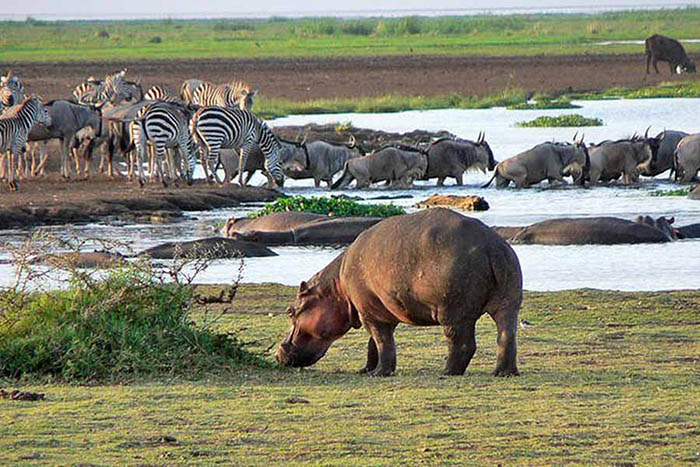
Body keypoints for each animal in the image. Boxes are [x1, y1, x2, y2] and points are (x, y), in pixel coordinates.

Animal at [276, 210, 524, 378]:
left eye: (291, 311)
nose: (278, 354)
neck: (335, 287)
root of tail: (493, 246)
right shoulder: (376, 309)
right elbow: (374, 344)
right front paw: (366, 370)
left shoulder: (369, 313)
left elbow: (382, 342)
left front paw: (378, 373)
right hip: (508, 301)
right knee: (506, 335)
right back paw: (504, 372)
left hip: (453, 312)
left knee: (462, 343)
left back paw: (447, 372)